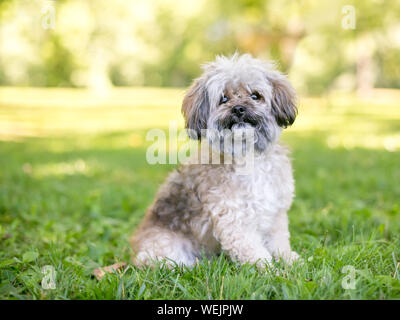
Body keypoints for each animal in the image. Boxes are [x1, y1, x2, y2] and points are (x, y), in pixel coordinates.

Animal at [131, 53, 300, 268]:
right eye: (223, 98)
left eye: (255, 95)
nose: (239, 109)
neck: (249, 157)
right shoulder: (234, 219)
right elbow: (253, 251)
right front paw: (271, 270)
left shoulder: (276, 213)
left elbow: (279, 242)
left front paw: (290, 261)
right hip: (164, 249)